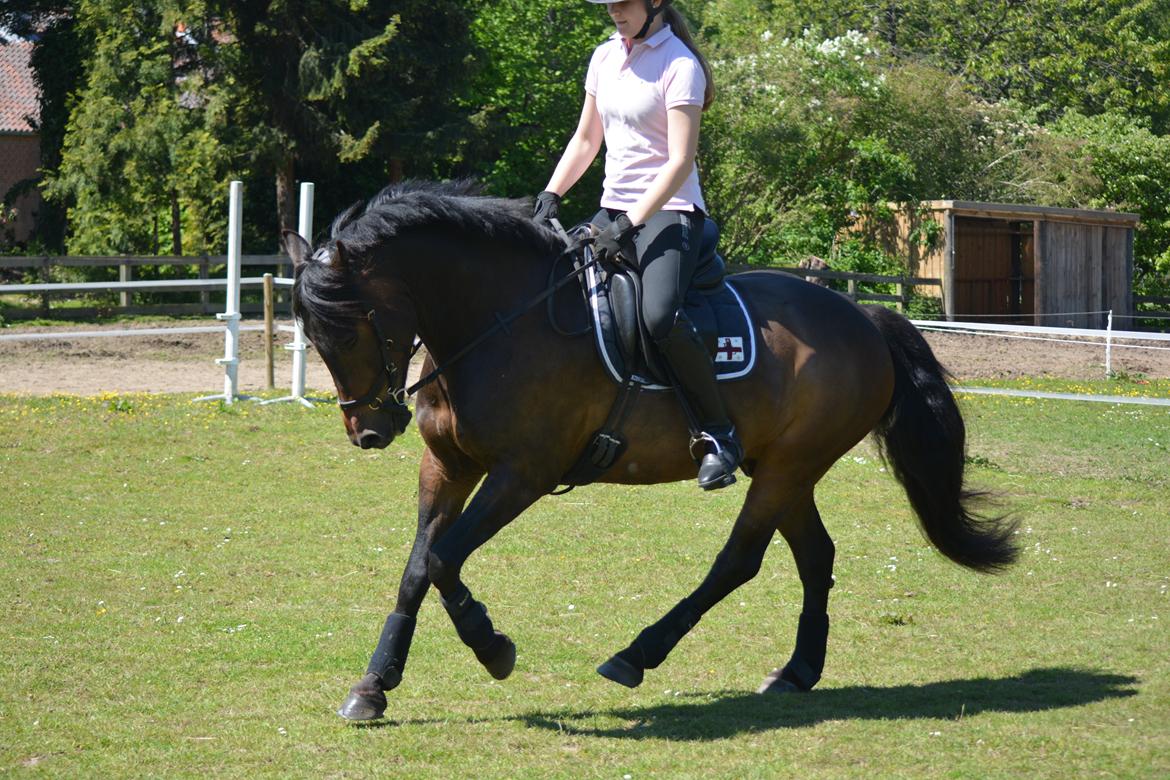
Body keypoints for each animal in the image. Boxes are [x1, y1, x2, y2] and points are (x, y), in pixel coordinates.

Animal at [283, 180, 1015, 725]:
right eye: (312, 335)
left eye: (349, 329)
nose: (370, 431)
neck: (498, 322)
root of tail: (863, 317)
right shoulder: (448, 465)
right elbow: (418, 566)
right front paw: (374, 685)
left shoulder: (522, 473)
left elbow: (442, 559)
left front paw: (492, 647)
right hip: (784, 466)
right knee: (815, 555)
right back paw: (797, 670)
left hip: (787, 467)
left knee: (739, 560)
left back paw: (637, 654)